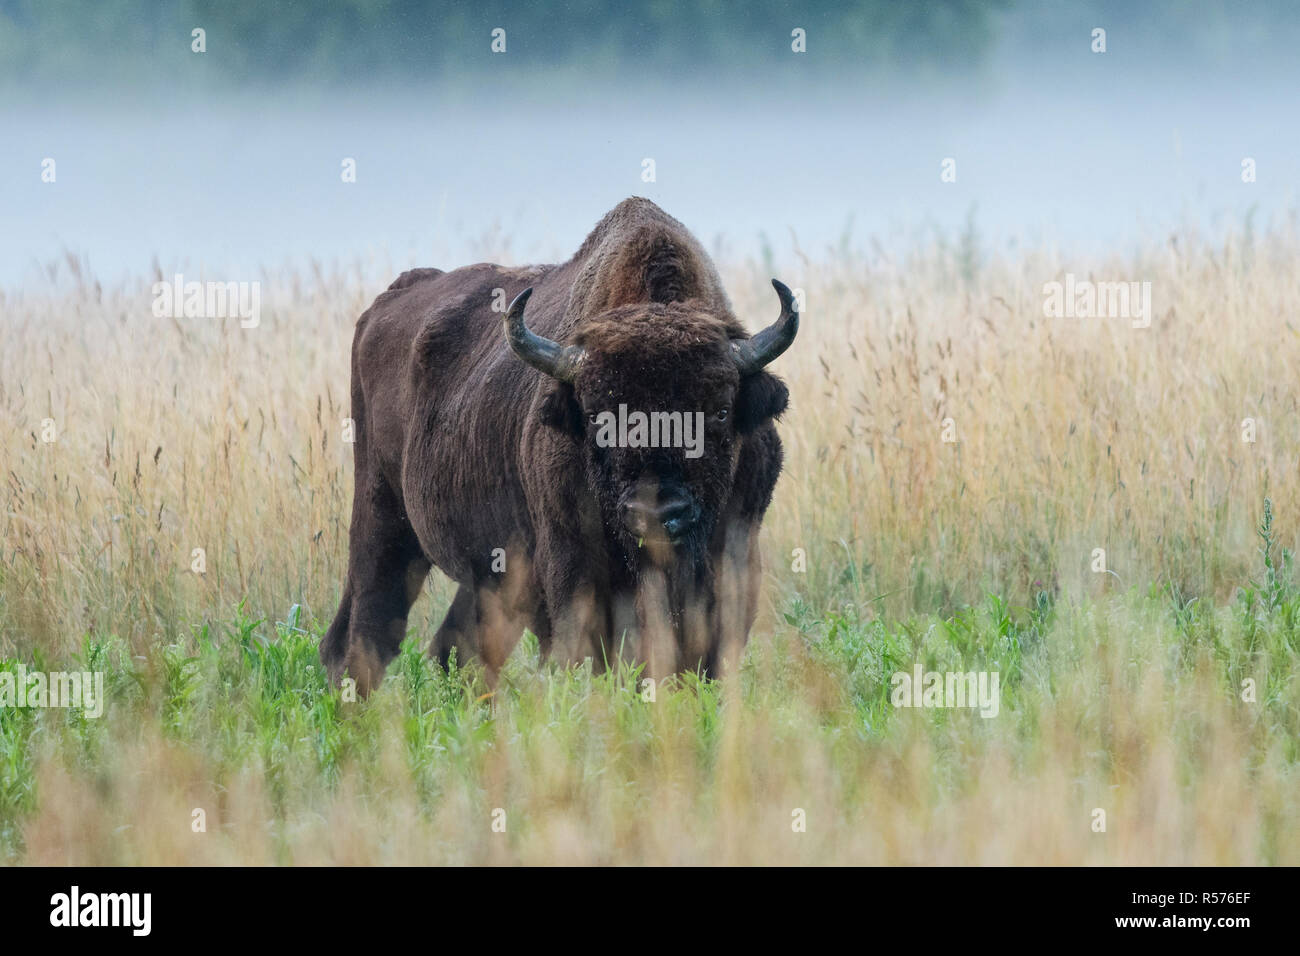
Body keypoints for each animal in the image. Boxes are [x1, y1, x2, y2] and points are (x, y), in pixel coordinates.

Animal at [319, 197, 795, 691]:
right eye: (598, 418)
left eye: (719, 411)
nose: (655, 513)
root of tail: (381, 307)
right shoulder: (570, 565)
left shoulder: (736, 552)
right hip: (381, 516)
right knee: (363, 630)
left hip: (487, 571)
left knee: (458, 648)